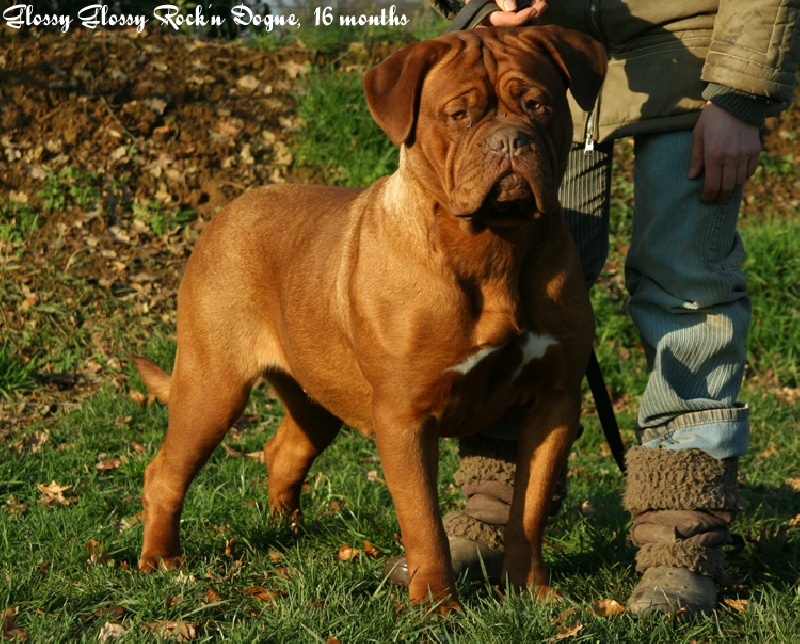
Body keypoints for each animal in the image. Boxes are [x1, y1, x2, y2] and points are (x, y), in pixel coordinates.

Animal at [134, 26, 604, 608]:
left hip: (314, 396)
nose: (510, 141)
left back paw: (286, 533)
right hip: (212, 386)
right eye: (459, 114)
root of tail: (224, 211)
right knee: (166, 472)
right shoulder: (404, 414)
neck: (495, 248)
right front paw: (437, 605)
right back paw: (161, 559)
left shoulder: (554, 401)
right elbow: (424, 519)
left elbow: (530, 510)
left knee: (284, 451)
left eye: (538, 104)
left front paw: (532, 592)